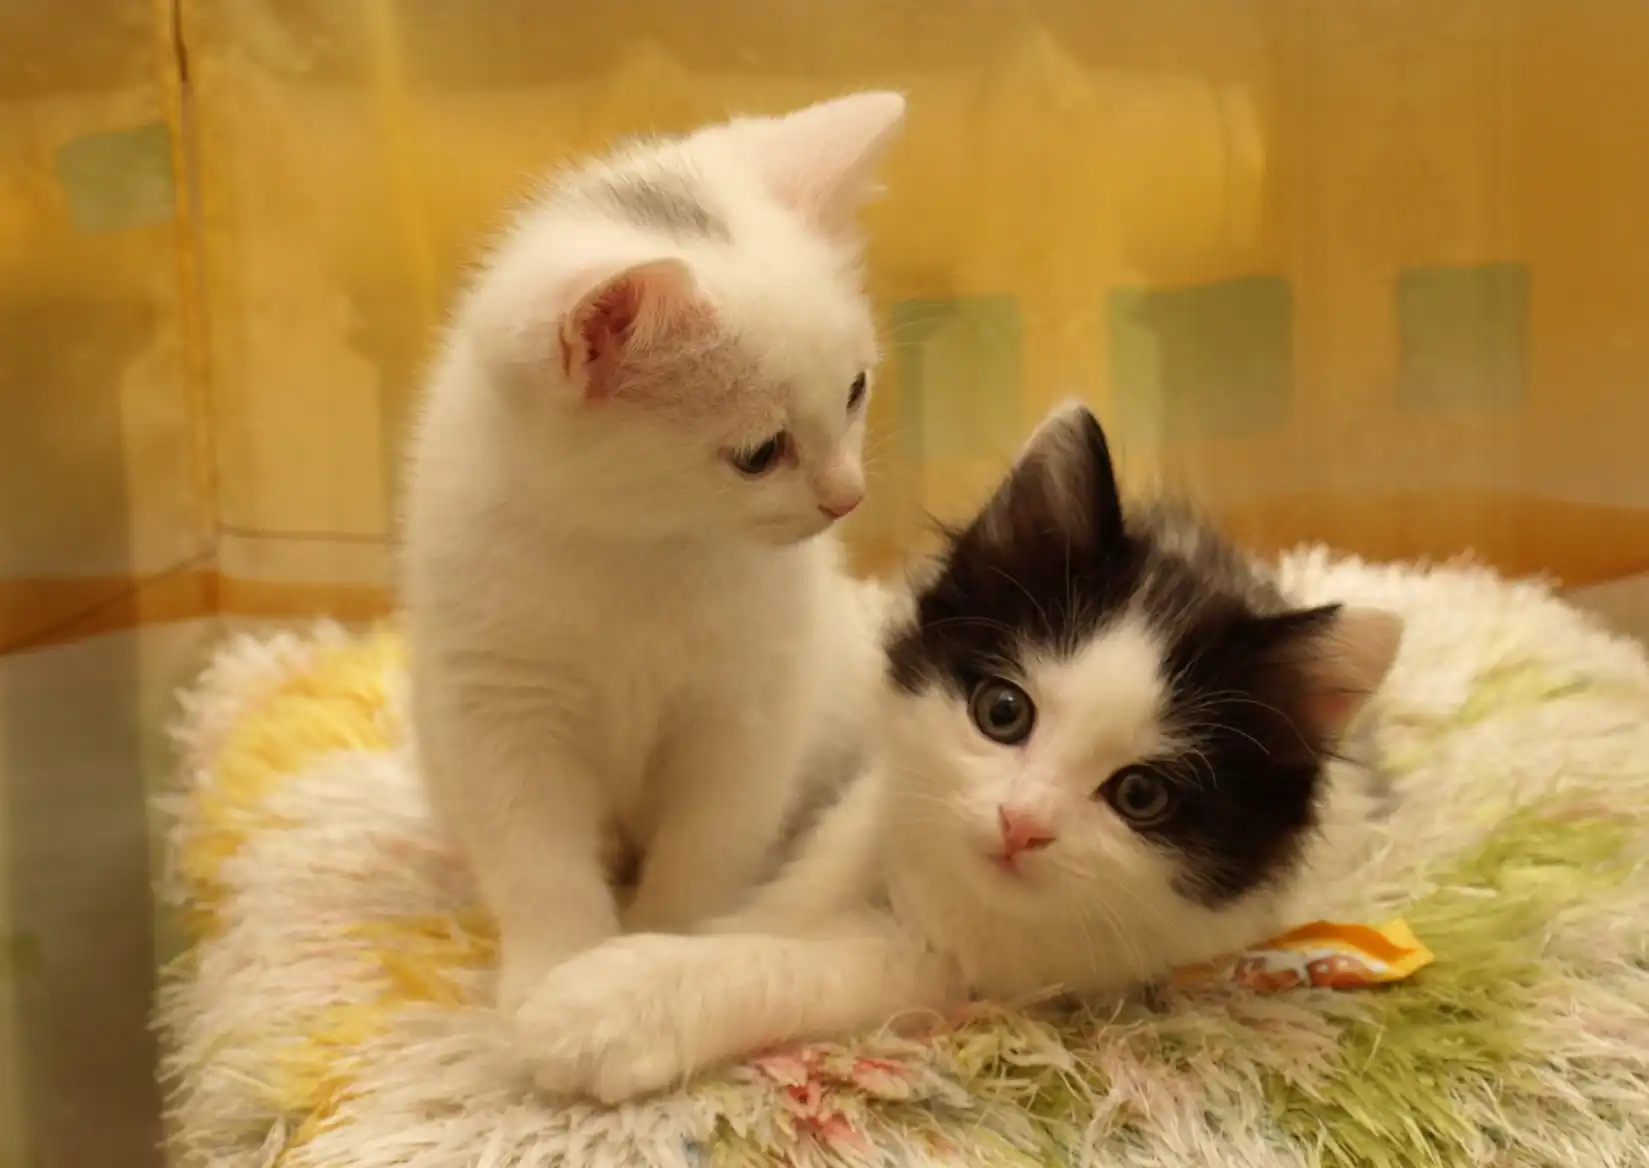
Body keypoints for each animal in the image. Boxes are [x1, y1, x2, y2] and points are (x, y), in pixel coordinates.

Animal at [400, 91, 907, 1022]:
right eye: (759, 453)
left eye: (855, 391)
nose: (844, 497)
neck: (642, 547)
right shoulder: (498, 703)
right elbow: (532, 851)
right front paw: (555, 967)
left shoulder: (747, 703)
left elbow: (710, 840)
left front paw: (658, 952)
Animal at [516, 401, 1406, 1104]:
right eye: (1003, 713)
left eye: (1140, 796)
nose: (1021, 824)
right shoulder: (885, 788)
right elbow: (801, 887)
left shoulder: (1024, 962)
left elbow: (825, 964)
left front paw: (607, 1006)